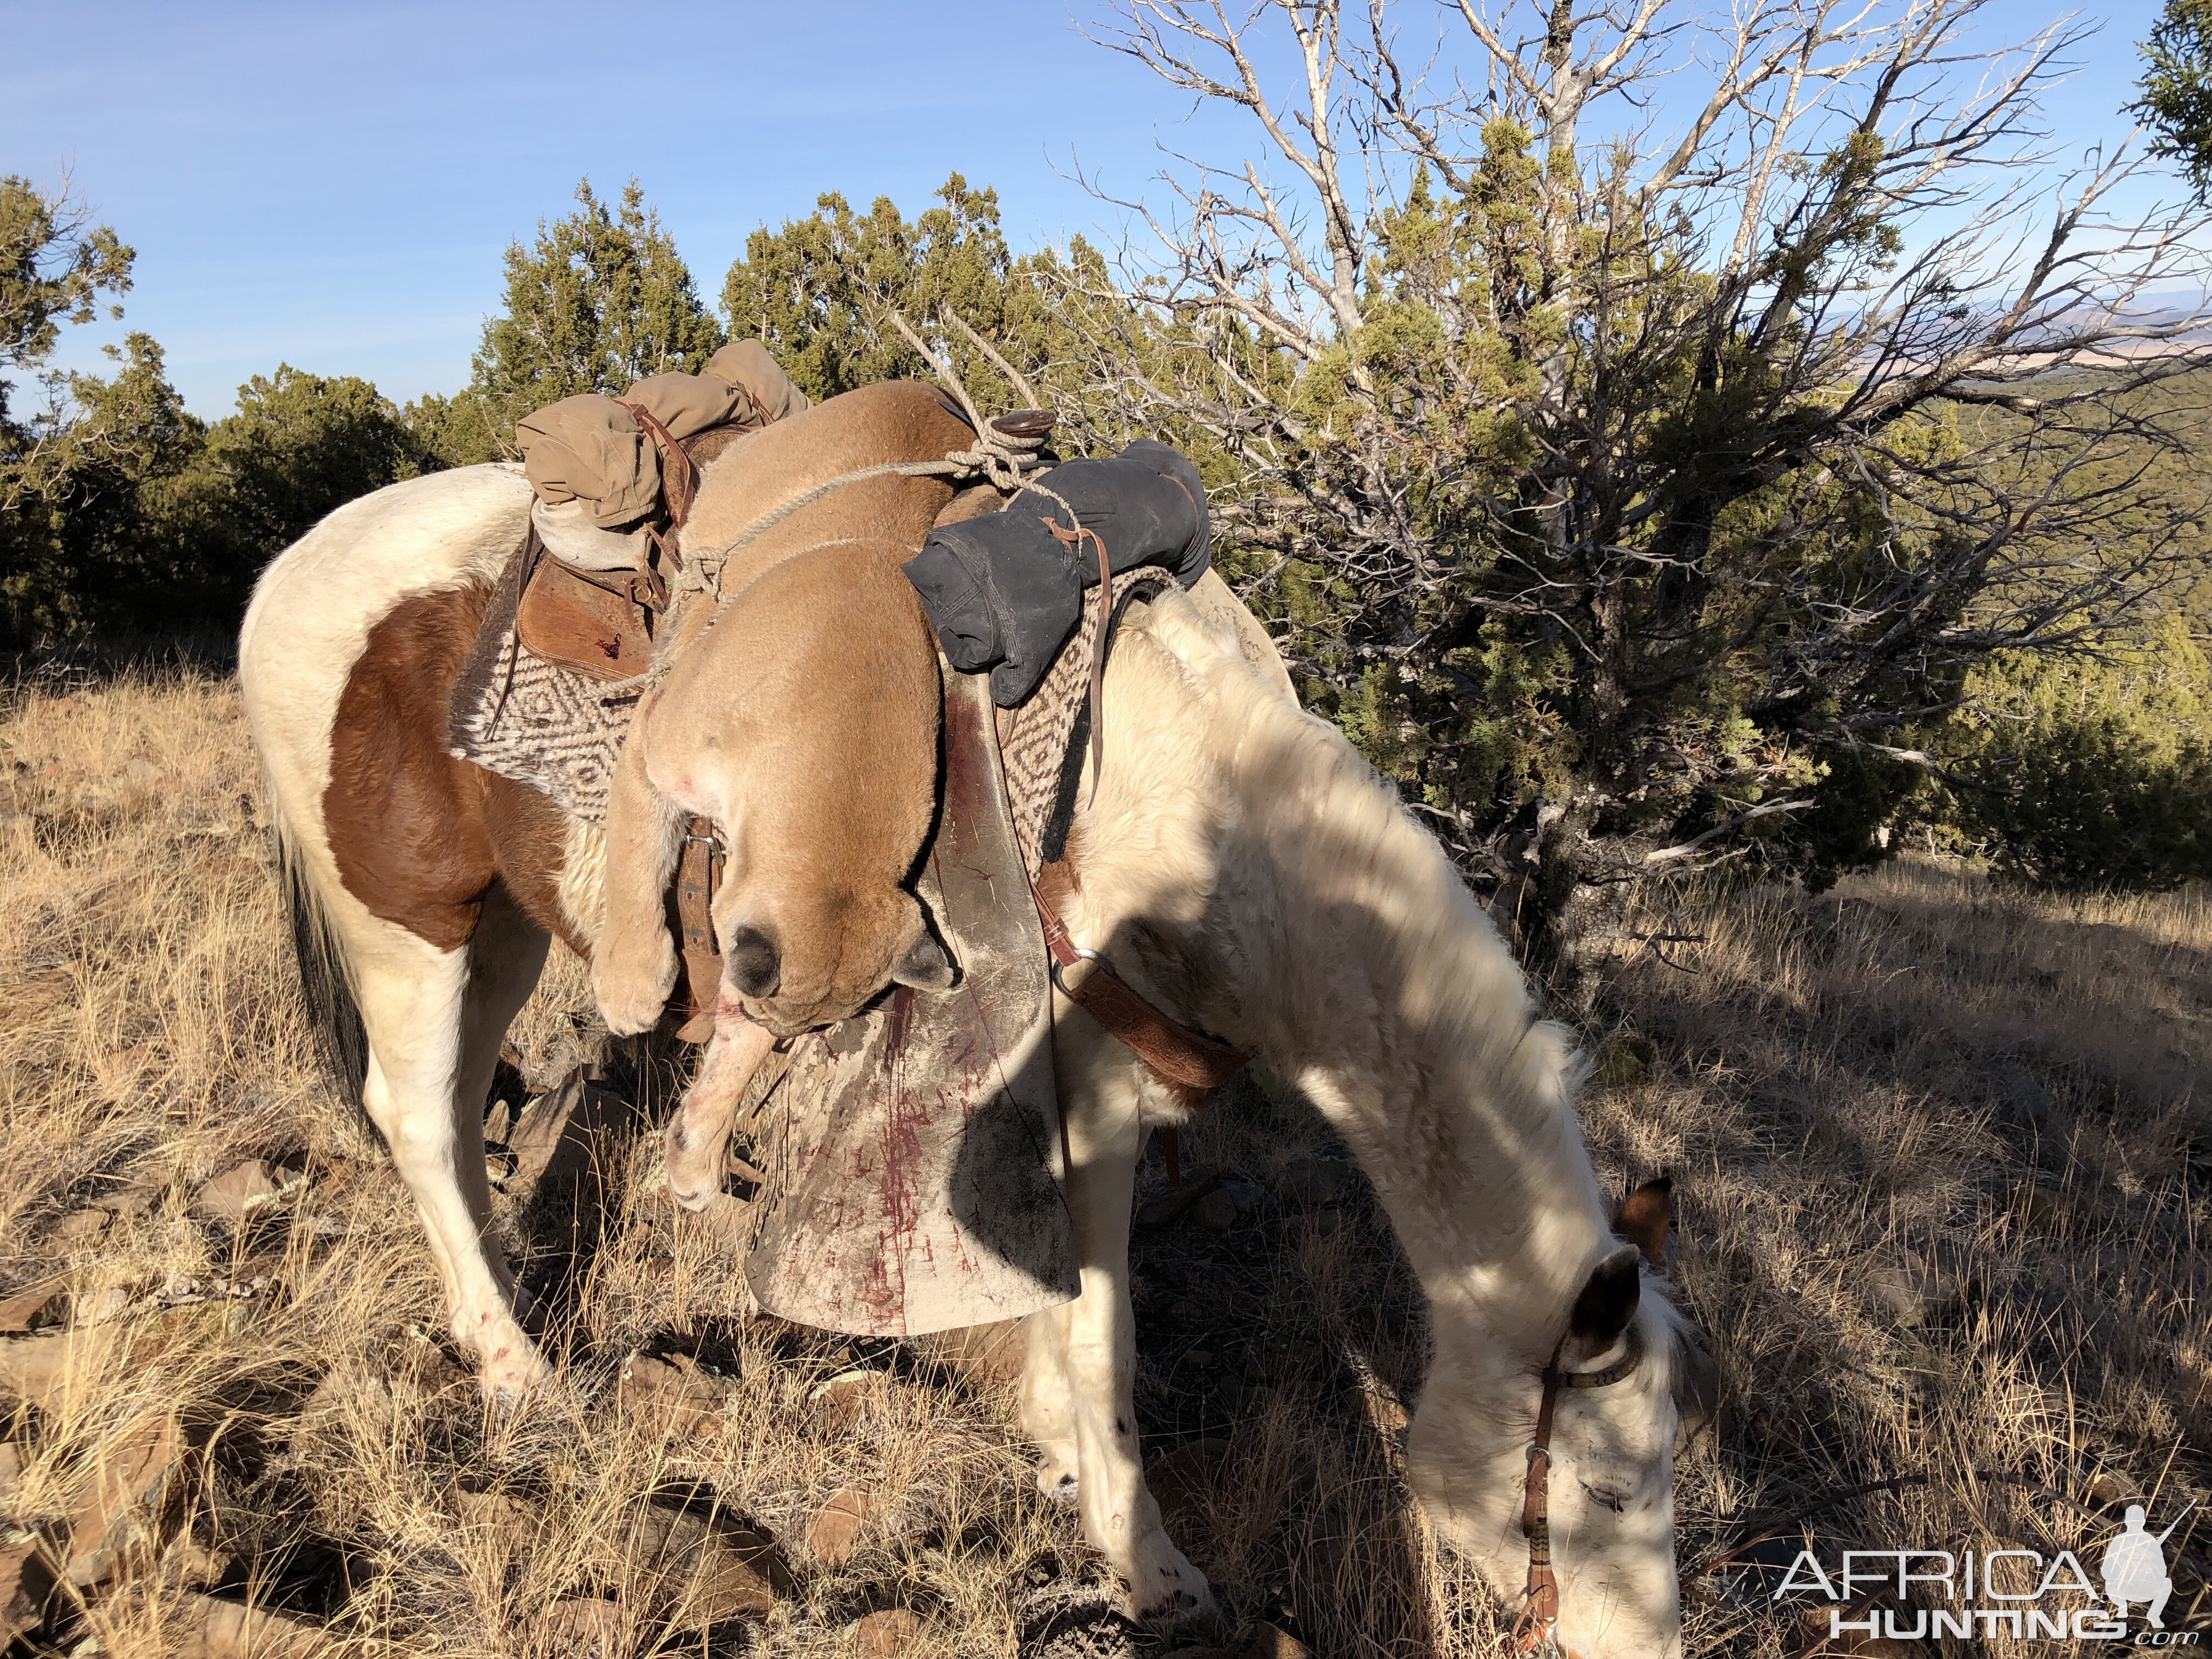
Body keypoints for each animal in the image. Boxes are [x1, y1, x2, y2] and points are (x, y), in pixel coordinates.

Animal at [238, 387, 1690, 1654]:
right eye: (1608, 1492)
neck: (1195, 813)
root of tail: (287, 569)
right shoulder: (1086, 1094)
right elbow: (1102, 1332)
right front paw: (1149, 1565)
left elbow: (1058, 1306)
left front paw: (1061, 1460)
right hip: (408, 927)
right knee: (414, 1114)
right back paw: (517, 1373)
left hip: (503, 928)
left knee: (459, 1105)